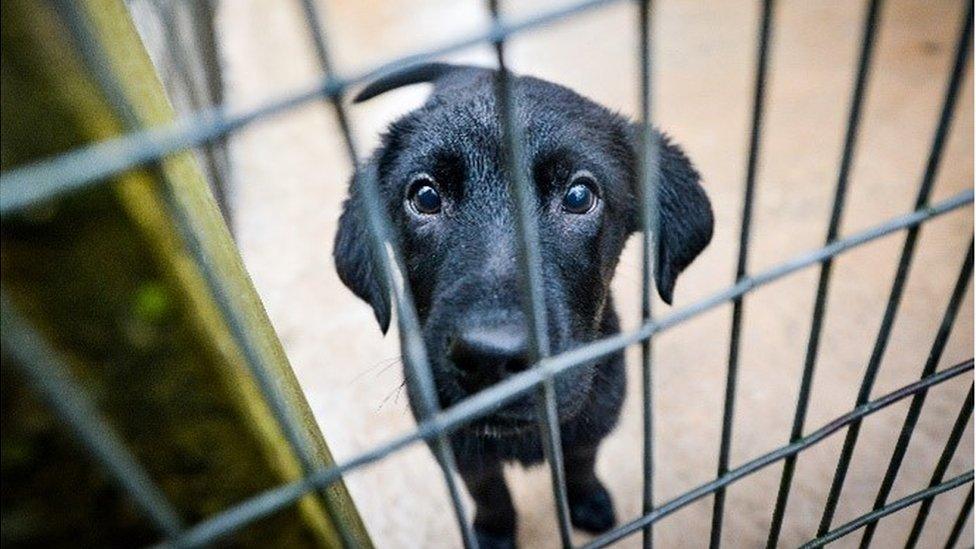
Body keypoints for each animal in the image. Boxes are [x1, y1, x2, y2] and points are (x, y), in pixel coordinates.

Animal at [334, 63, 708, 544]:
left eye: (579, 196)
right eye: (425, 197)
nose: (489, 358)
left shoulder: (592, 422)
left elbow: (581, 465)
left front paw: (587, 501)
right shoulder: (455, 445)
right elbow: (488, 489)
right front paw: (493, 532)